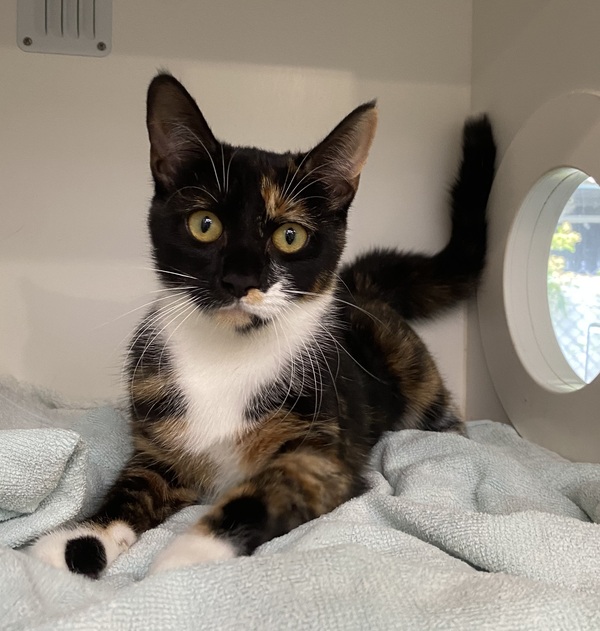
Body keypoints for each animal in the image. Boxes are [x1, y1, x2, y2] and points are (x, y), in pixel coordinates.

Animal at [29, 73, 496, 577]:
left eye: (290, 235)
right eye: (204, 224)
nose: (240, 279)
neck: (227, 355)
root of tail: (358, 286)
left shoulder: (321, 456)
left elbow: (264, 492)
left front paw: (189, 556)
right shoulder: (158, 443)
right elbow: (133, 487)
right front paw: (77, 541)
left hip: (410, 367)